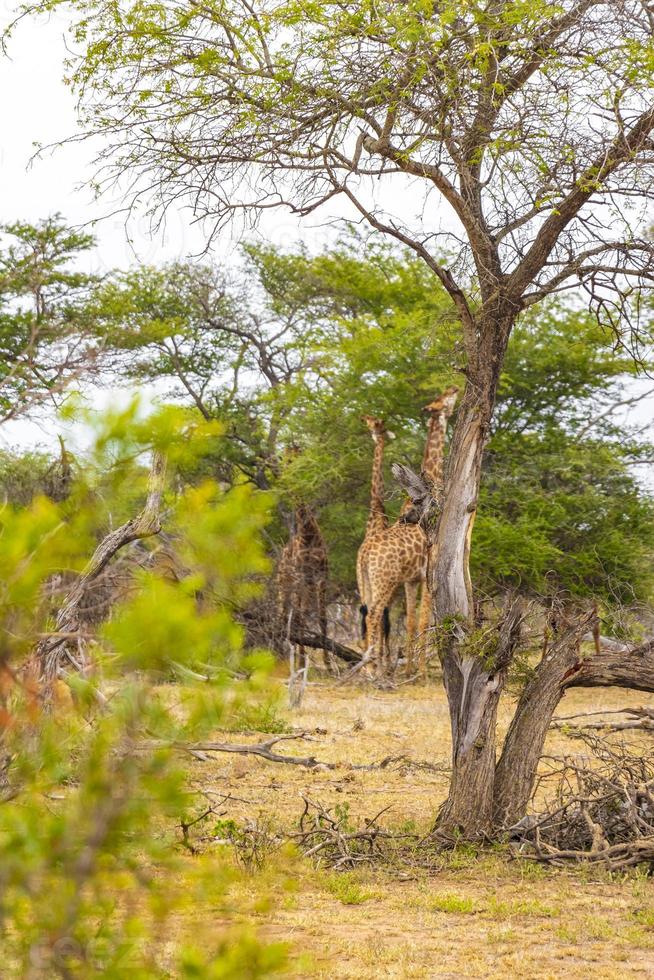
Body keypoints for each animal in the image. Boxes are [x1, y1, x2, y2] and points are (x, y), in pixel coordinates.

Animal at [276, 502, 334, 700]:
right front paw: (301, 663)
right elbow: (300, 618)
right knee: (285, 616)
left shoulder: (321, 575)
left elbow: (322, 618)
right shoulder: (301, 576)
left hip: (304, 586)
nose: (302, 526)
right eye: (297, 514)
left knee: (293, 617)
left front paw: (329, 665)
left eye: (309, 514)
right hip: (285, 586)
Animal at [358, 386, 462, 676]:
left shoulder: (411, 579)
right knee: (373, 615)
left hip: (367, 581)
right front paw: (422, 671)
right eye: (444, 399)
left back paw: (371, 667)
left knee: (369, 614)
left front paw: (410, 668)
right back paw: (373, 669)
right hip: (383, 581)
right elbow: (426, 619)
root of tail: (365, 554)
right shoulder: (426, 574)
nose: (455, 388)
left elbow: (412, 621)